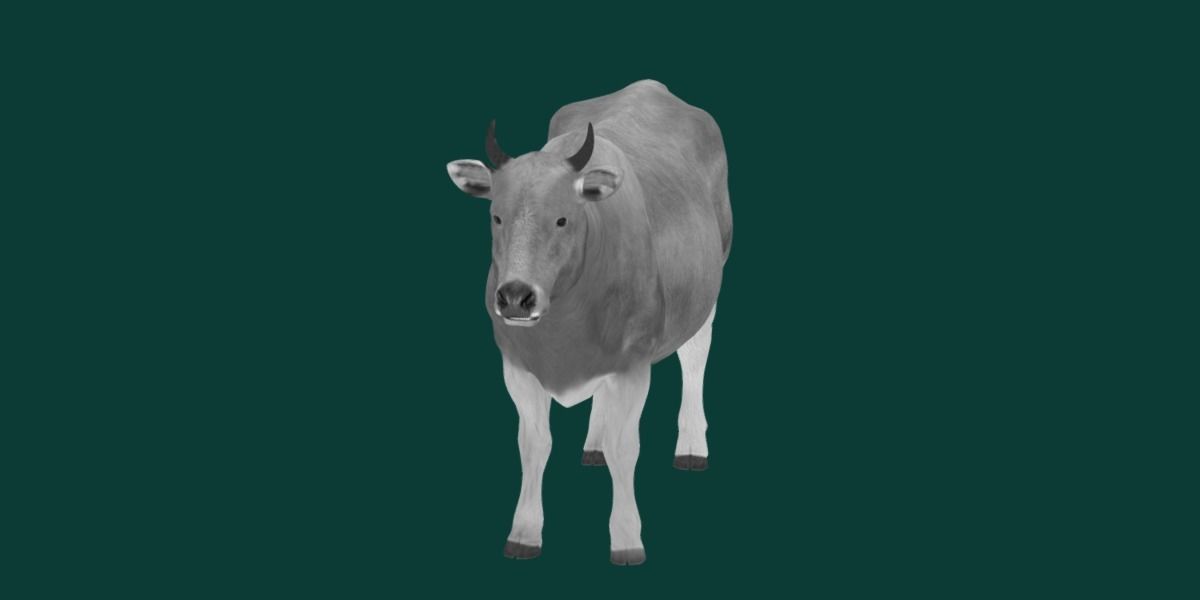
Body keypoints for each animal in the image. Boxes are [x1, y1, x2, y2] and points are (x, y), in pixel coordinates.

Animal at [445, 80, 732, 565]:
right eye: (496, 215)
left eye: (563, 217)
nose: (515, 297)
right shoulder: (516, 365)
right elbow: (533, 445)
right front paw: (524, 534)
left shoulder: (633, 363)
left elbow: (625, 447)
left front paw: (627, 539)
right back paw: (593, 443)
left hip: (712, 279)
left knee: (695, 356)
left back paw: (692, 445)